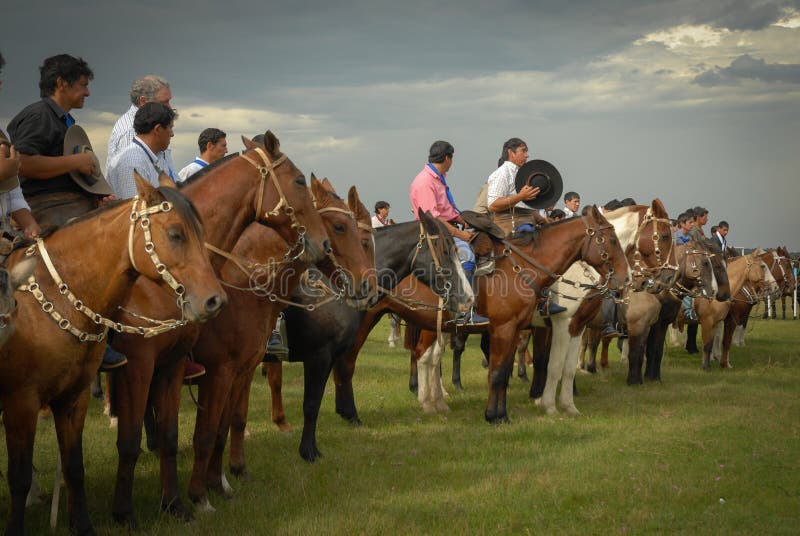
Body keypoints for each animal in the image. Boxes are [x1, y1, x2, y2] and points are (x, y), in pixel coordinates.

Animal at [0, 177, 225, 536]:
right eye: (175, 233)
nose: (215, 300)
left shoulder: (77, 397)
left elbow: (76, 465)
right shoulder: (22, 401)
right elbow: (20, 476)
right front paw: (125, 513)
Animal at [108, 131, 330, 528]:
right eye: (299, 181)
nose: (323, 244)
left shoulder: (196, 367)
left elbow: (205, 430)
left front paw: (185, 499)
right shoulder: (148, 366)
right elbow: (196, 434)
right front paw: (190, 498)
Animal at [184, 177, 378, 510]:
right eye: (340, 227)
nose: (369, 286)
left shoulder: (243, 369)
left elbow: (232, 421)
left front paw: (233, 473)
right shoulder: (315, 357)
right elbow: (311, 403)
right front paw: (309, 452)